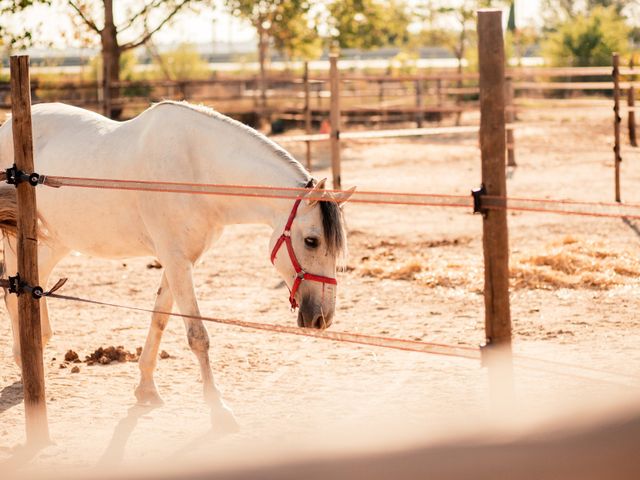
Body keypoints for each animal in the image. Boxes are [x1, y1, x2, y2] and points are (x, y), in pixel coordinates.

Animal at [0, 102, 350, 432]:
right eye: (312, 241)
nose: (322, 319)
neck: (197, 171)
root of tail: (8, 125)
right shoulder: (177, 260)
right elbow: (198, 336)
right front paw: (218, 410)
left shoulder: (176, 261)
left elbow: (159, 319)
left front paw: (146, 388)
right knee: (13, 291)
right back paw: (25, 362)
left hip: (58, 239)